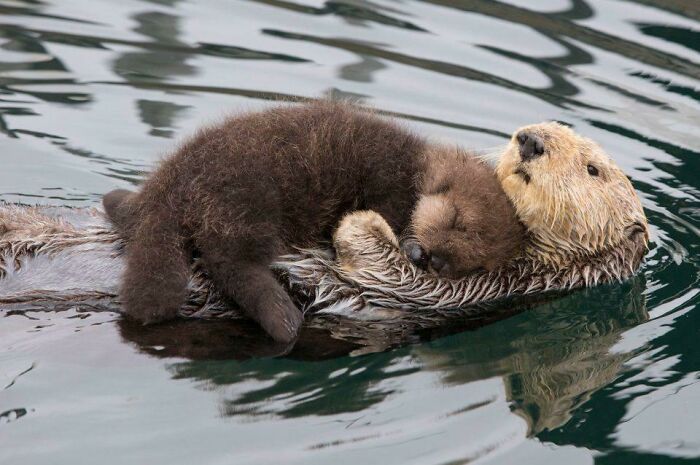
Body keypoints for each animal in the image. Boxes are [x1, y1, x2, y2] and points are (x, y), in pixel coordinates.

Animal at [102, 101, 524, 343]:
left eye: (473, 263)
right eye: (456, 221)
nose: (434, 260)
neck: (417, 167)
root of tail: (170, 190)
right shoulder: (390, 182)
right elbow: (391, 210)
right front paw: (410, 245)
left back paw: (116, 202)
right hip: (246, 200)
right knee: (231, 261)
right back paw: (283, 319)